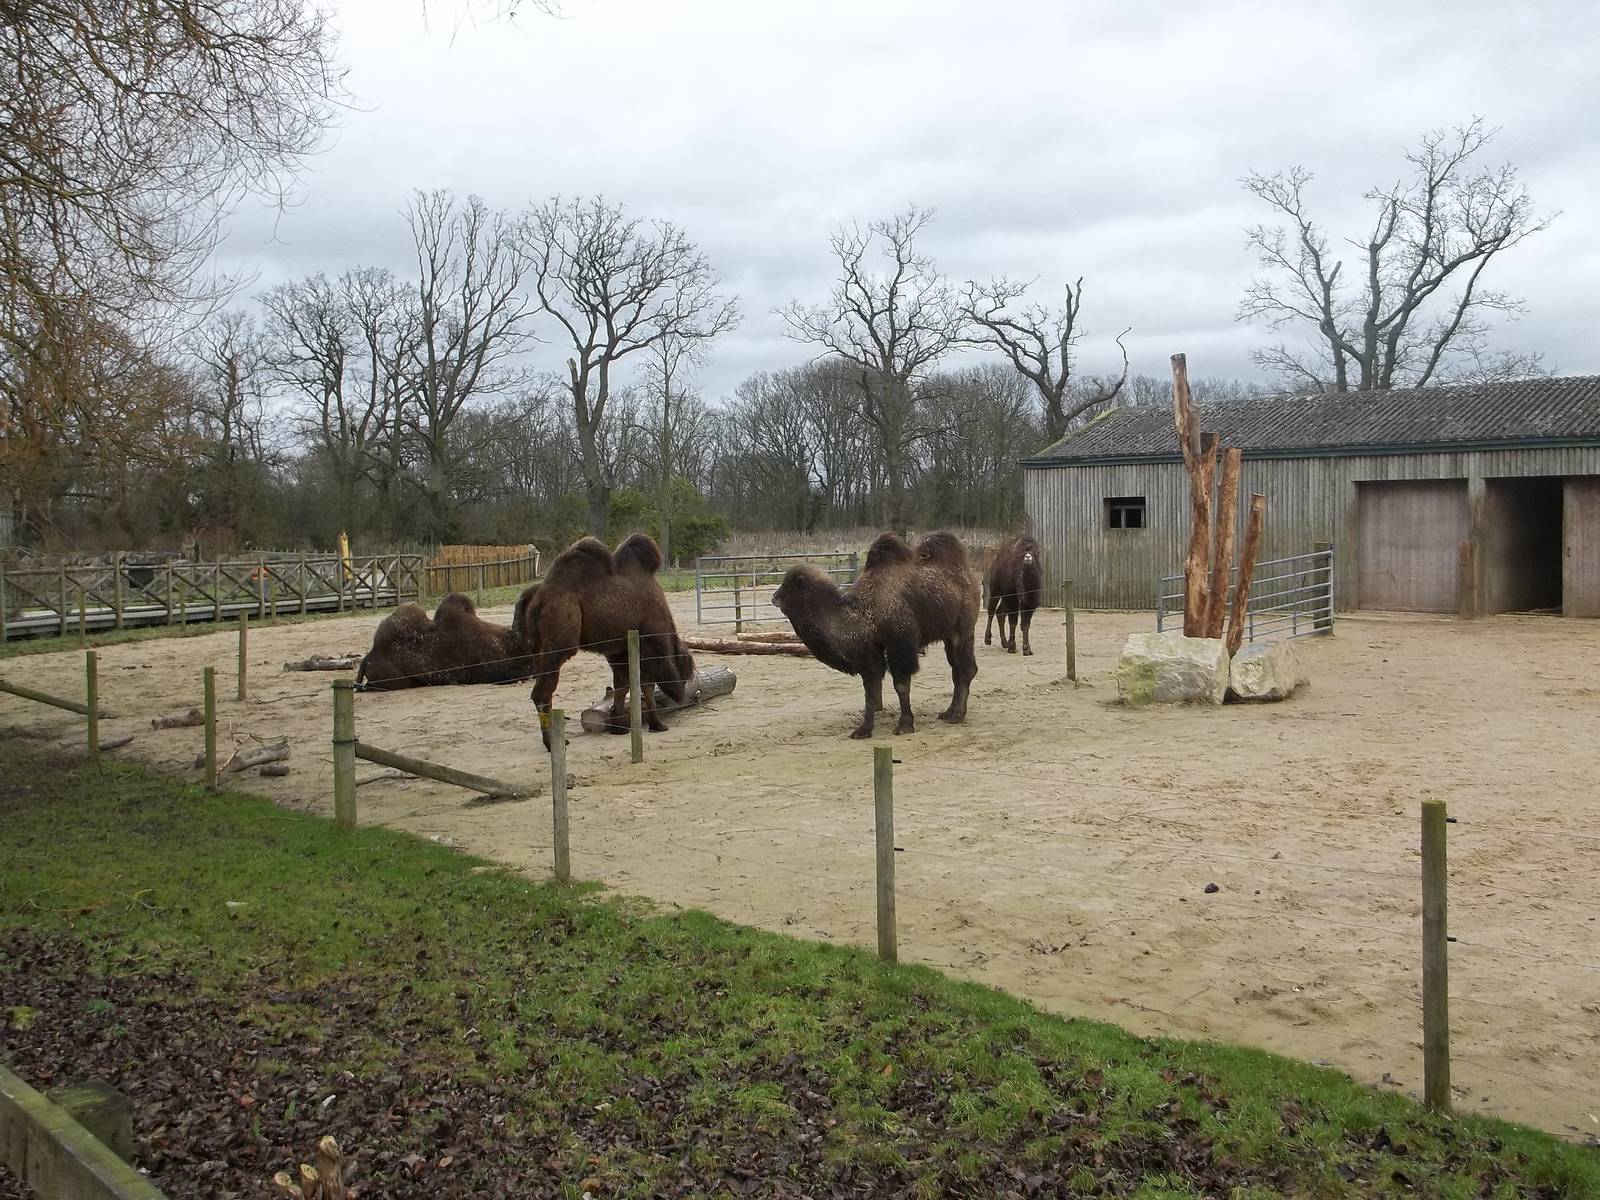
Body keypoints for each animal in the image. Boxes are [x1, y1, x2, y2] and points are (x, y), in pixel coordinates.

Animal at [514, 533, 695, 749]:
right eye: (684, 672)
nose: (685, 694)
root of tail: (536, 599)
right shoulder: (649, 644)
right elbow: (647, 686)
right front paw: (657, 725)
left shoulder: (618, 651)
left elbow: (622, 686)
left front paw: (620, 727)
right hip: (559, 642)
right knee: (543, 692)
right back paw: (553, 743)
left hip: (537, 646)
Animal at [771, 531, 979, 738]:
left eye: (789, 586)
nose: (774, 597)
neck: (865, 613)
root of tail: (969, 575)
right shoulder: (871, 650)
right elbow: (870, 687)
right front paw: (863, 730)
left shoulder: (900, 644)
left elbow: (901, 684)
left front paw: (904, 725)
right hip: (948, 635)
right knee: (956, 670)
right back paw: (948, 712)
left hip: (963, 628)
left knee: (967, 669)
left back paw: (957, 715)